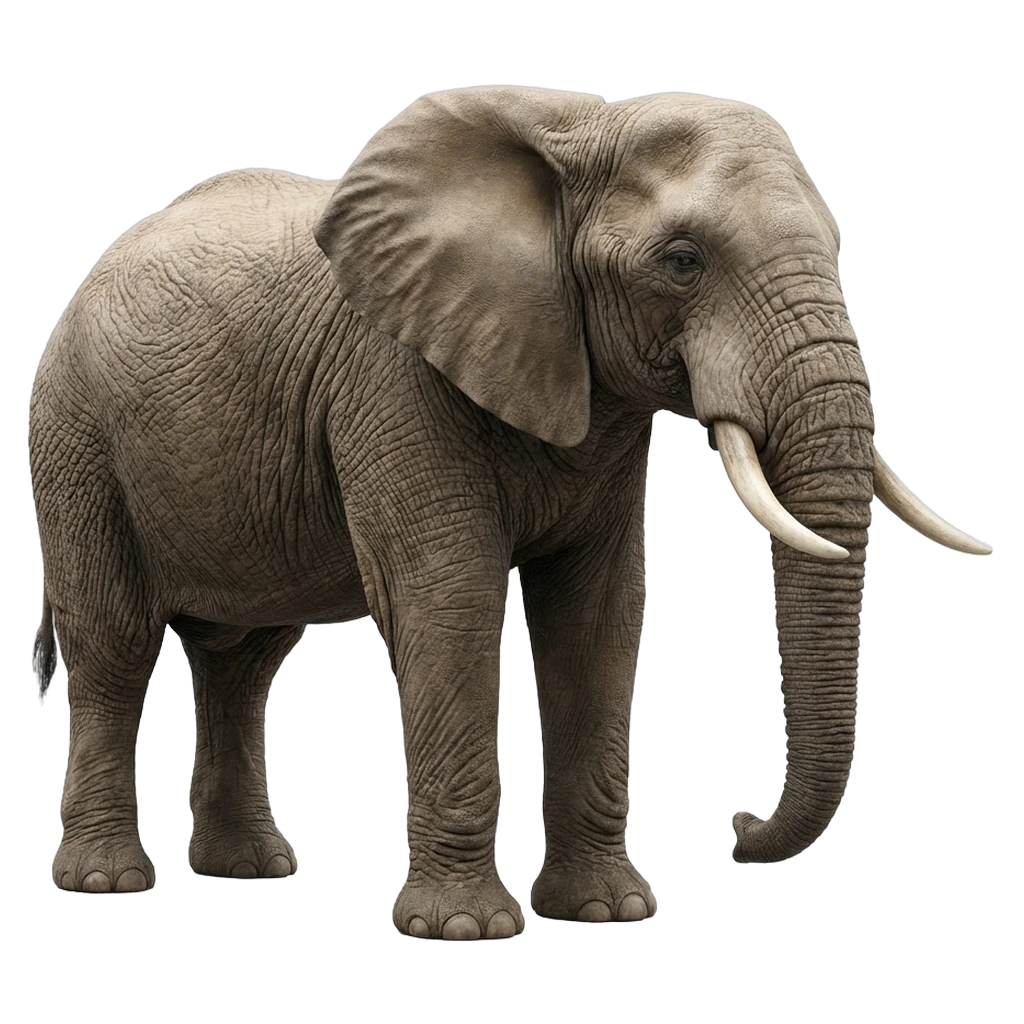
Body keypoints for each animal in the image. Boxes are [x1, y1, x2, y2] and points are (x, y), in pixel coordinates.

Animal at [30, 85, 992, 934]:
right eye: (683, 261)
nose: (738, 824)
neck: (584, 130)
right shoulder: (393, 374)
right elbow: (448, 597)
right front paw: (464, 927)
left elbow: (597, 615)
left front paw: (608, 913)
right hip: (76, 441)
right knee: (113, 644)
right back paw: (107, 880)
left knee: (244, 662)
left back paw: (253, 870)